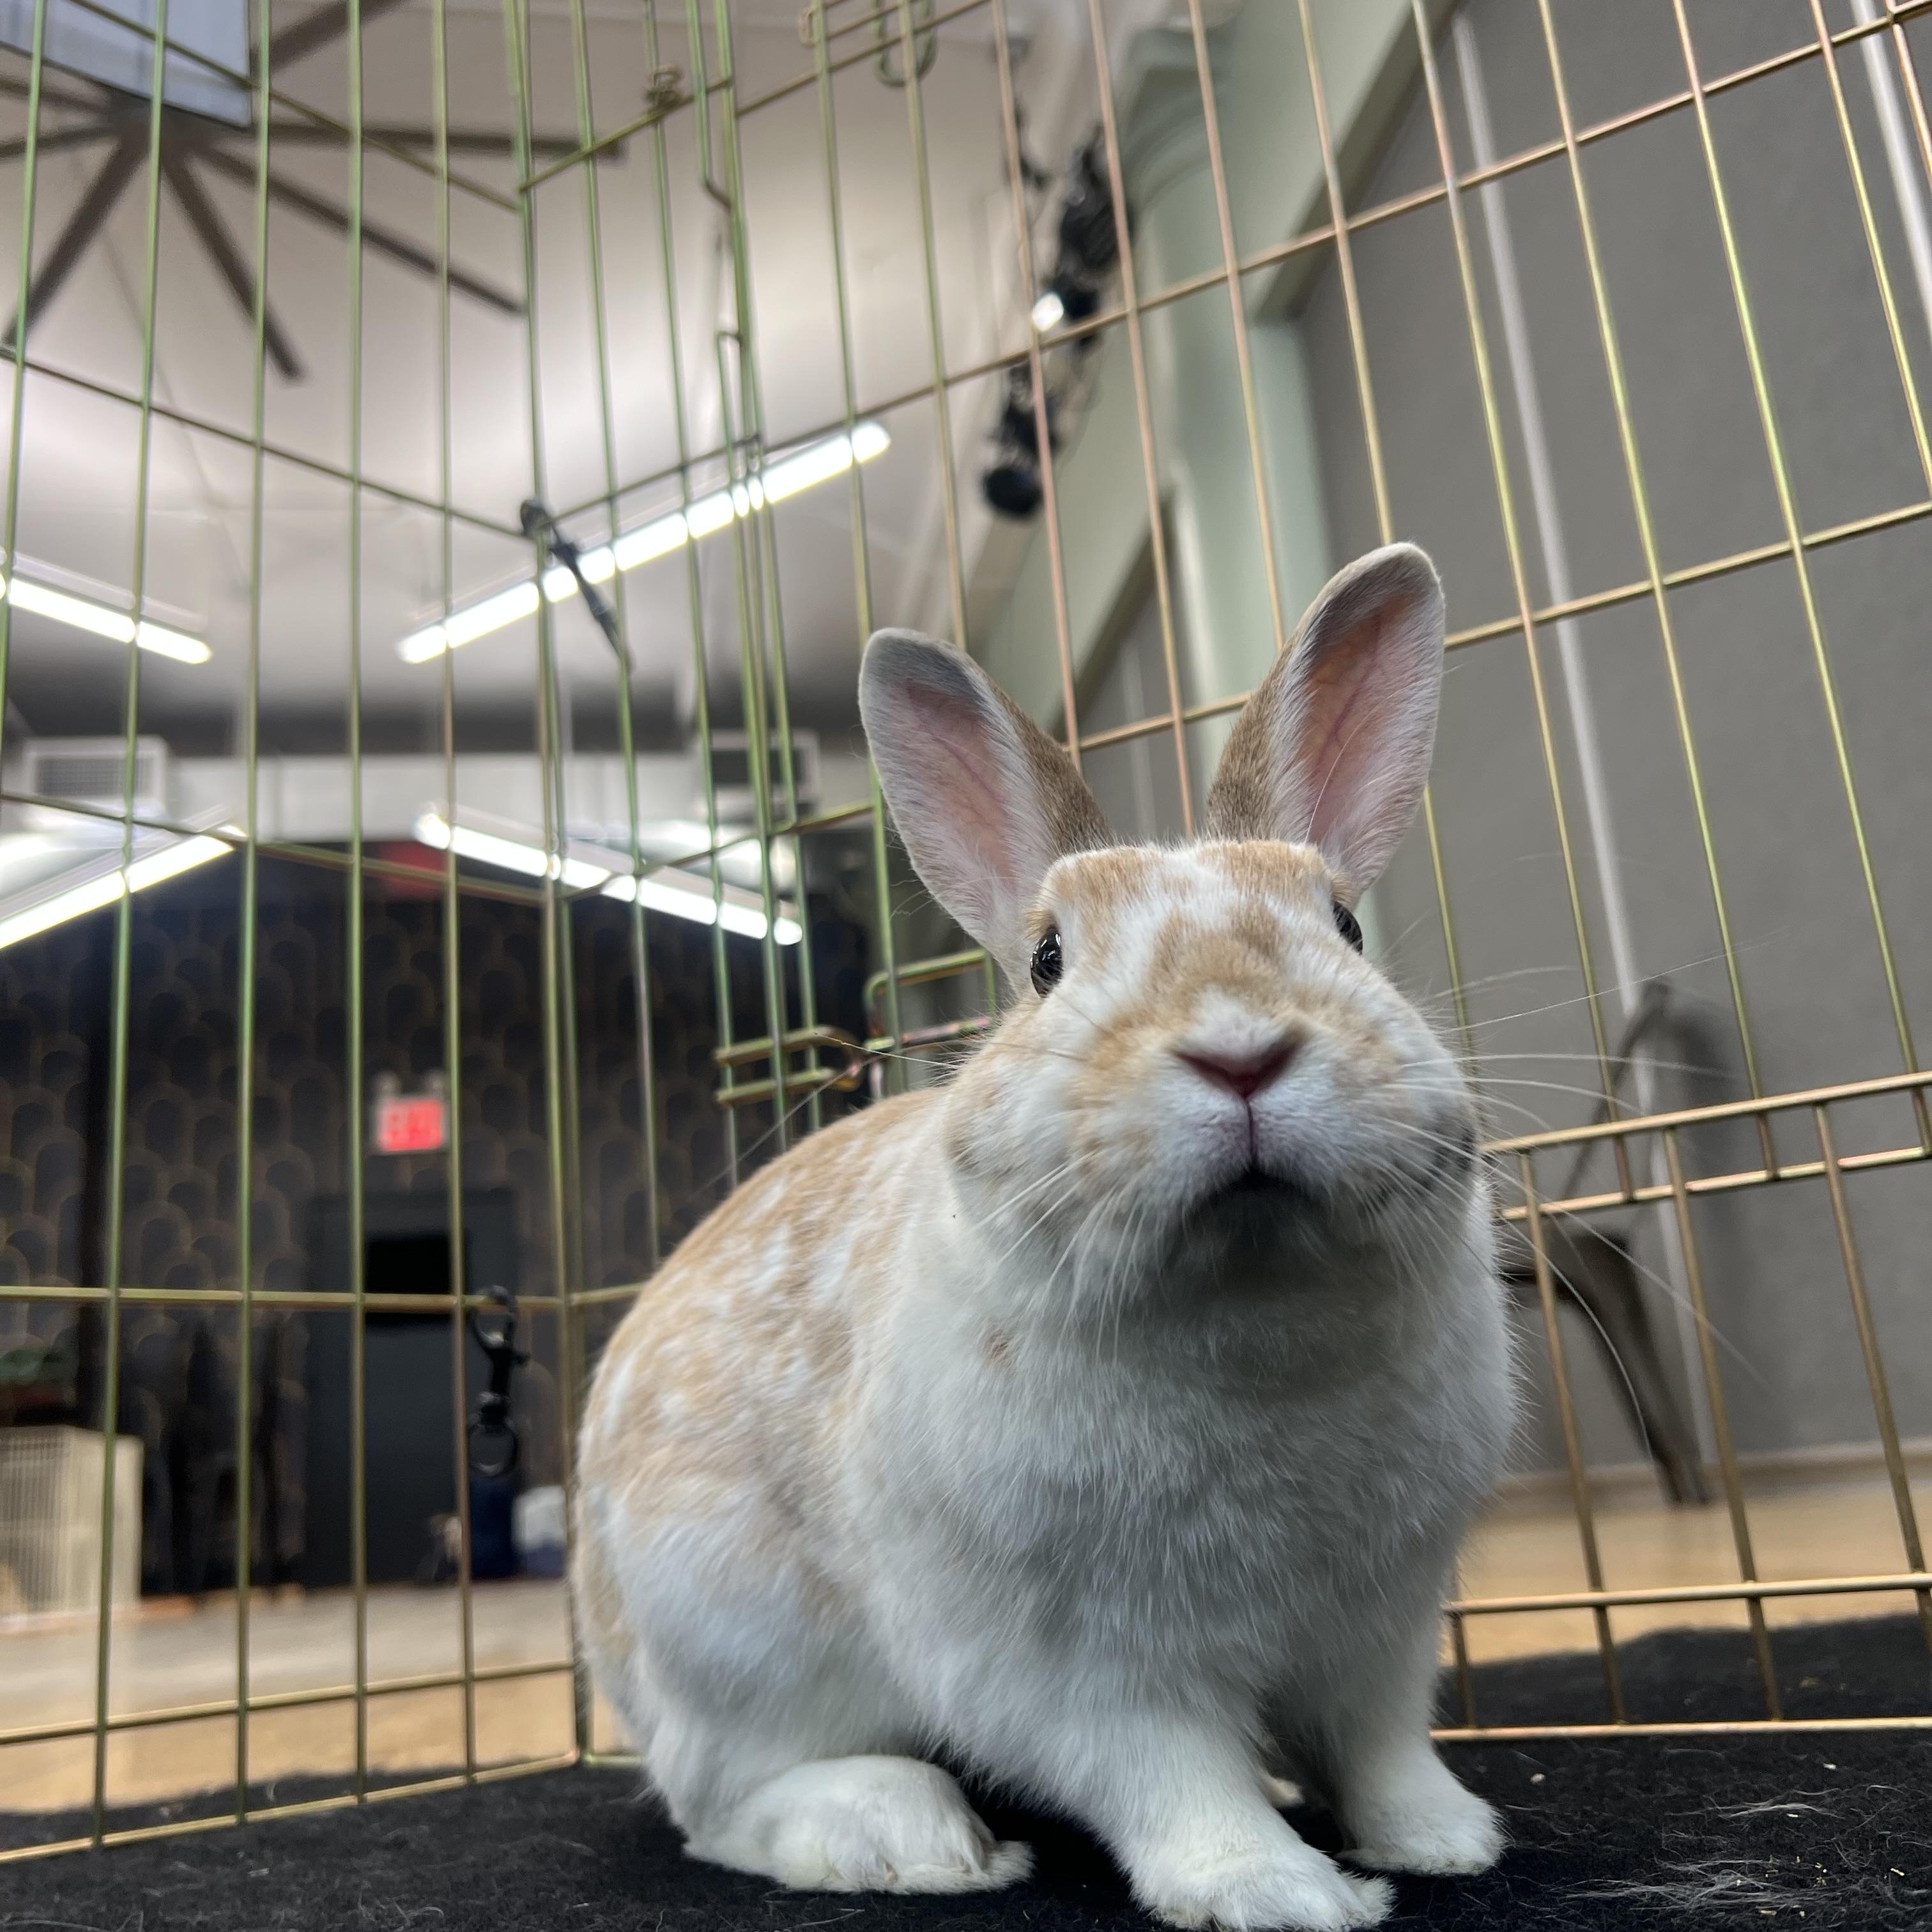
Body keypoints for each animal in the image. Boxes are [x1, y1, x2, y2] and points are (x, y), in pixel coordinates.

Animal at [575, 542, 1516, 1931]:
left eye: (1343, 925)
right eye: (1048, 962)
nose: (1240, 1047)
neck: (1249, 1308)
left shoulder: (1381, 1624)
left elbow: (1382, 1747)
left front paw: (1447, 1840)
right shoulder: (1077, 1660)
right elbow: (1170, 1774)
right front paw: (1278, 1891)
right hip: (729, 1641)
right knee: (721, 1802)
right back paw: (908, 1835)